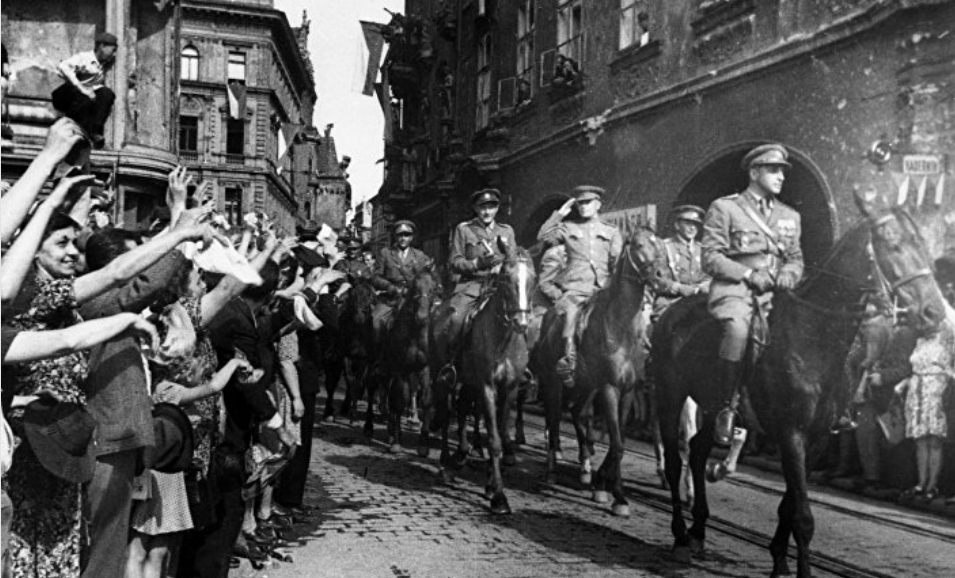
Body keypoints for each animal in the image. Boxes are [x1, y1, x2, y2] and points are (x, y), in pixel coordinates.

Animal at [369, 268, 440, 452]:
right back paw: (371, 426)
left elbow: (426, 400)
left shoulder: (424, 368)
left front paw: (423, 443)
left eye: (434, 289)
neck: (414, 332)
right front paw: (395, 442)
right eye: (414, 287)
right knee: (375, 389)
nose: (422, 317)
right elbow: (400, 399)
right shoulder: (400, 368)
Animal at [428, 241, 536, 514]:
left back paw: (462, 453)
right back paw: (445, 465)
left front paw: (490, 484)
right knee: (446, 412)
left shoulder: (509, 389)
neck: (504, 339)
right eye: (506, 277)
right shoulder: (487, 387)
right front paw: (499, 496)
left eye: (533, 278)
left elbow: (500, 433)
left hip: (468, 382)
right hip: (441, 376)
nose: (521, 322)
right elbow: (495, 441)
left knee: (462, 409)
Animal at [532, 225, 663, 517]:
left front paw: (606, 488)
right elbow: (617, 443)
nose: (661, 276)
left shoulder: (627, 390)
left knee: (578, 416)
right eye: (638, 245)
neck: (621, 327)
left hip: (585, 388)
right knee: (554, 422)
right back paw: (551, 470)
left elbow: (617, 443)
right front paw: (616, 495)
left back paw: (585, 468)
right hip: (553, 383)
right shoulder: (609, 388)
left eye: (659, 244)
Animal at [652, 191, 946, 578]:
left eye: (924, 246)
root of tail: (672, 313)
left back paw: (699, 530)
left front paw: (779, 559)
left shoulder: (816, 438)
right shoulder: (791, 433)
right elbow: (803, 516)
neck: (814, 338)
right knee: (675, 460)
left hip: (714, 408)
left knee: (699, 451)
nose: (935, 313)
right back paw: (681, 538)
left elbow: (790, 507)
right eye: (892, 245)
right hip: (670, 397)